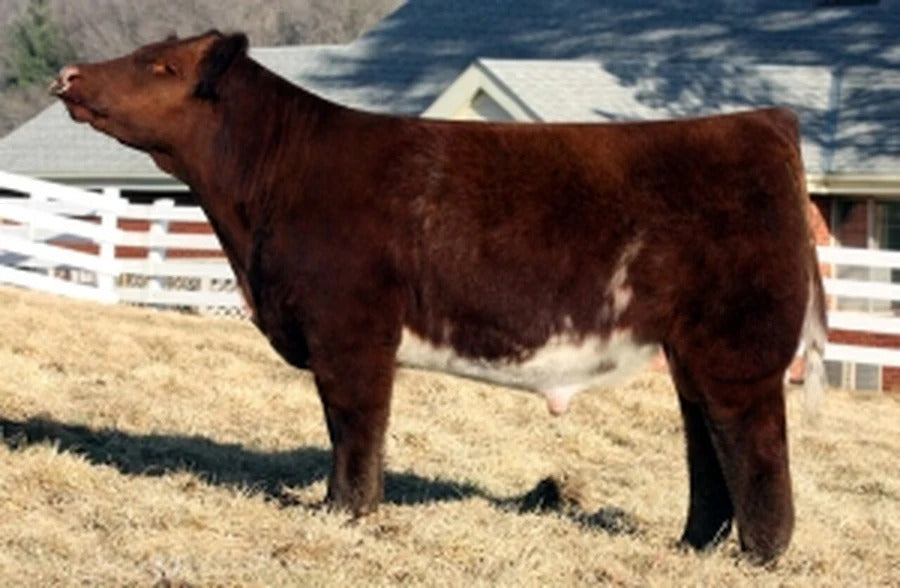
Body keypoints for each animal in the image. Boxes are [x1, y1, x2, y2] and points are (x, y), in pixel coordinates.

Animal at [51, 31, 827, 563]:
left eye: (162, 66)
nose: (67, 74)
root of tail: (763, 122)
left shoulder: (351, 329)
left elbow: (354, 425)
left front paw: (346, 512)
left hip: (738, 346)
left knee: (753, 441)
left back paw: (760, 554)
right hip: (692, 352)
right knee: (707, 442)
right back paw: (691, 545)